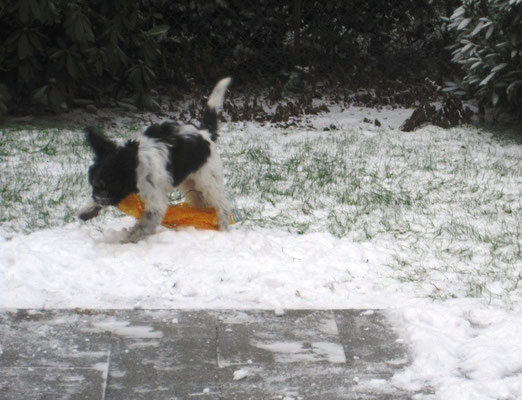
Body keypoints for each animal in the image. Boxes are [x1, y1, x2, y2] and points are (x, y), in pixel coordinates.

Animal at [77, 76, 232, 242]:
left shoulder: (154, 200)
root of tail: (204, 134)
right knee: (202, 204)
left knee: (222, 205)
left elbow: (145, 222)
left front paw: (129, 239)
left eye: (109, 186)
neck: (136, 165)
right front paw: (88, 209)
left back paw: (223, 228)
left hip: (208, 180)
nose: (98, 199)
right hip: (192, 185)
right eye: (94, 185)